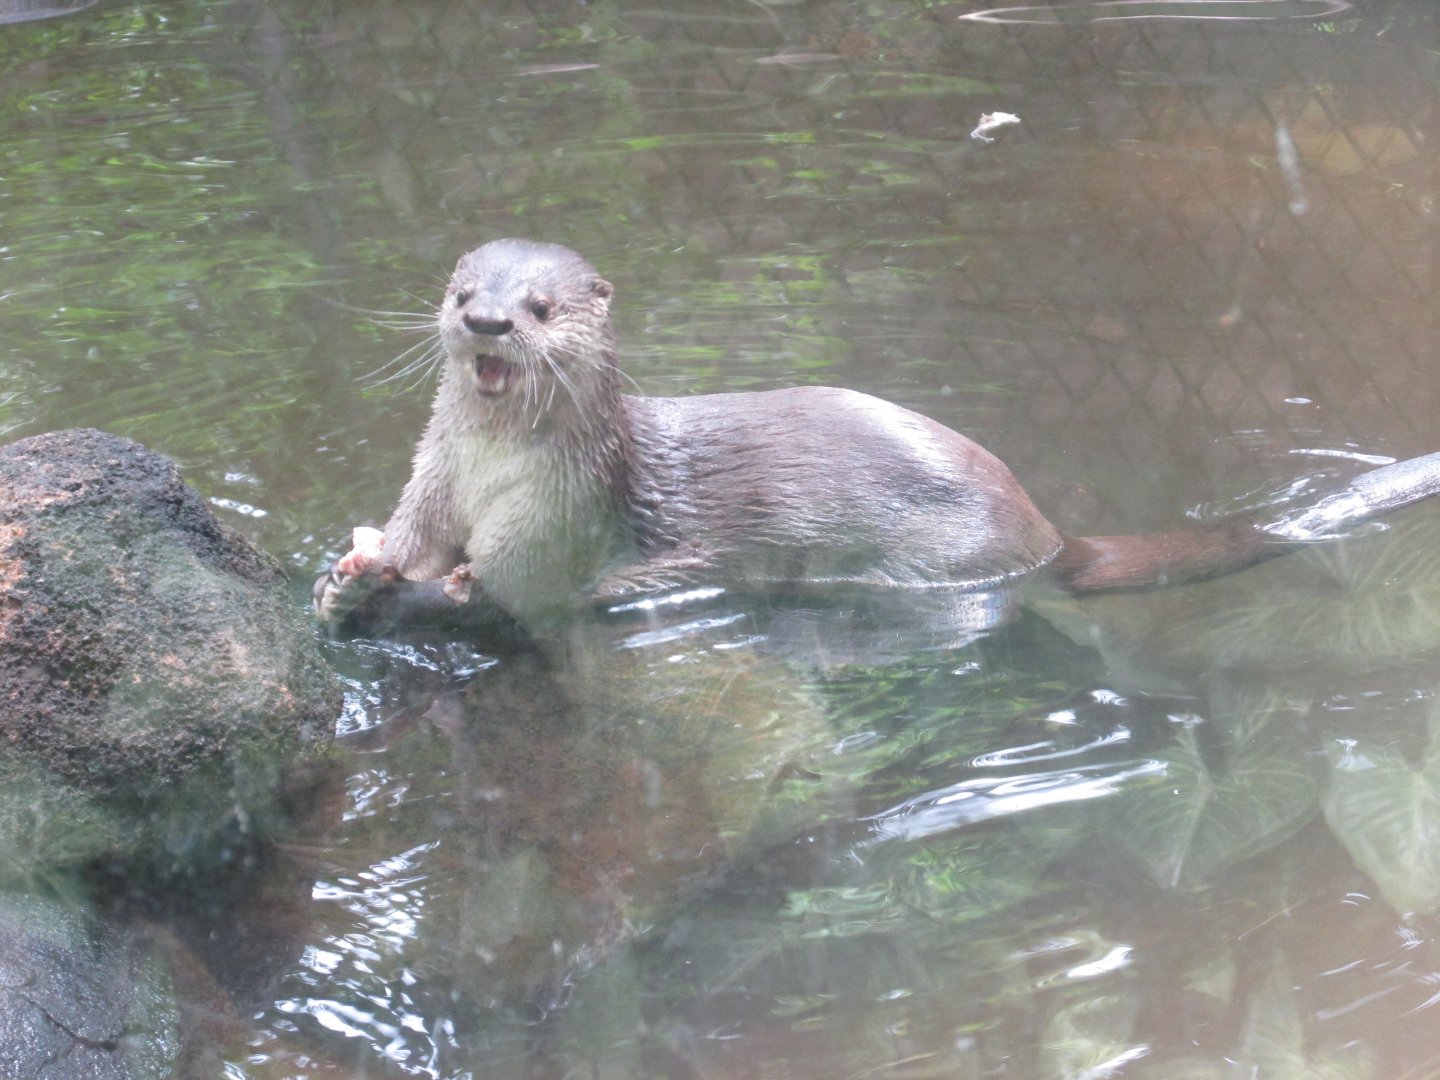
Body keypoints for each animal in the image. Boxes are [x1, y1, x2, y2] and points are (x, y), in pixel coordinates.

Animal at [314, 238, 1440, 636]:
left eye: (540, 307)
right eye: (462, 289)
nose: (486, 323)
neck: (495, 474)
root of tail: (1048, 533)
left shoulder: (563, 521)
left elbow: (514, 588)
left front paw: (433, 590)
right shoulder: (433, 478)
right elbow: (410, 537)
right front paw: (358, 566)